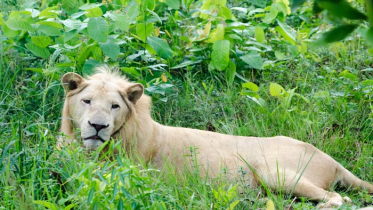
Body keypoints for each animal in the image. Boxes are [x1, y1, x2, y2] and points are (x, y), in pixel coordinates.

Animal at [59, 67, 370, 207]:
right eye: (87, 101)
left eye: (115, 106)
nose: (97, 126)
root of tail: (332, 160)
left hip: (274, 172)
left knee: (340, 198)